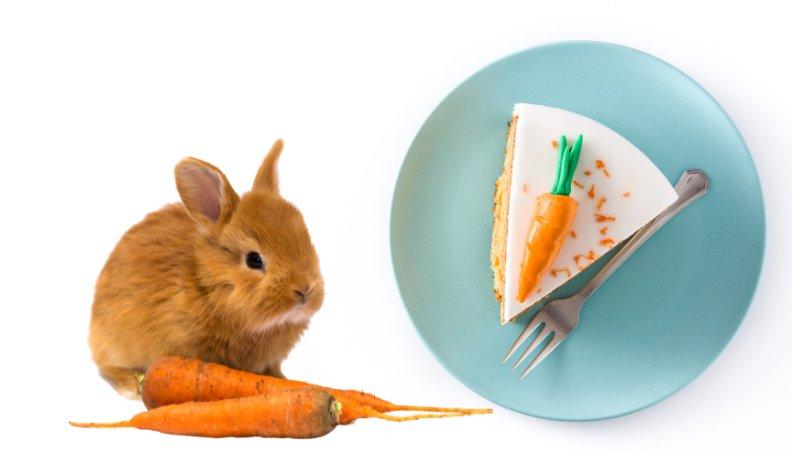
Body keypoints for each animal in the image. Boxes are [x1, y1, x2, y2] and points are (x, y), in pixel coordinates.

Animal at [89, 140, 324, 399]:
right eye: (254, 260)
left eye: (305, 238)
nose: (305, 290)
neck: (206, 284)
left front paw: (282, 380)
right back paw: (131, 386)